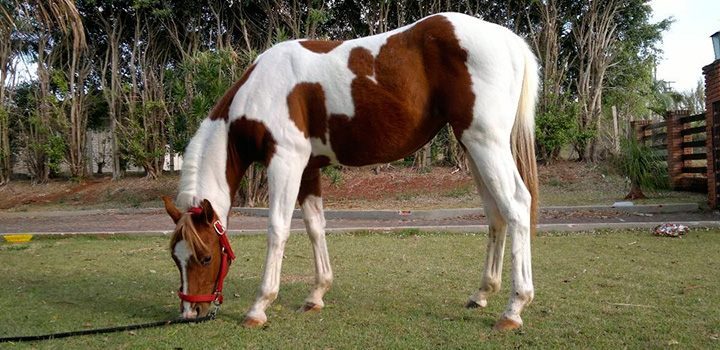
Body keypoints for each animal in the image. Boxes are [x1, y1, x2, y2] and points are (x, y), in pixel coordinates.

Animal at [162, 12, 536, 330]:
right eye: (175, 258)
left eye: (206, 257)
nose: (190, 312)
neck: (260, 91)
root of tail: (508, 39)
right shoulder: (308, 170)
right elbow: (315, 227)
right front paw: (316, 295)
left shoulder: (285, 162)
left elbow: (278, 229)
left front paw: (259, 307)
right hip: (473, 148)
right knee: (496, 213)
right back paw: (483, 294)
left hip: (486, 143)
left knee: (517, 205)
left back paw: (514, 309)